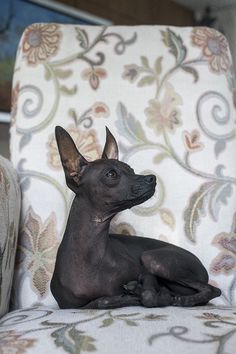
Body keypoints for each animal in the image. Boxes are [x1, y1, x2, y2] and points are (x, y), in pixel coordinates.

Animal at [50, 126, 221, 308]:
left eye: (131, 170)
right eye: (111, 174)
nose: (152, 178)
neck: (91, 252)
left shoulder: (146, 274)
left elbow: (148, 296)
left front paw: (145, 294)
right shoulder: (67, 306)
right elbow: (98, 302)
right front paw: (122, 296)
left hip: (151, 258)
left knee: (213, 290)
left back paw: (182, 299)